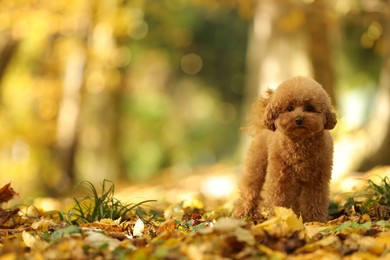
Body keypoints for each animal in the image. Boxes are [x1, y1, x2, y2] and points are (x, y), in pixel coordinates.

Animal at [236, 76, 336, 222]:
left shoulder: (317, 179)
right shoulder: (280, 178)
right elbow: (279, 199)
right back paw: (244, 214)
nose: (299, 119)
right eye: (289, 108)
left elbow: (314, 200)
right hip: (256, 167)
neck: (300, 144)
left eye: (309, 108)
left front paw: (315, 221)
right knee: (250, 189)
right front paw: (280, 217)